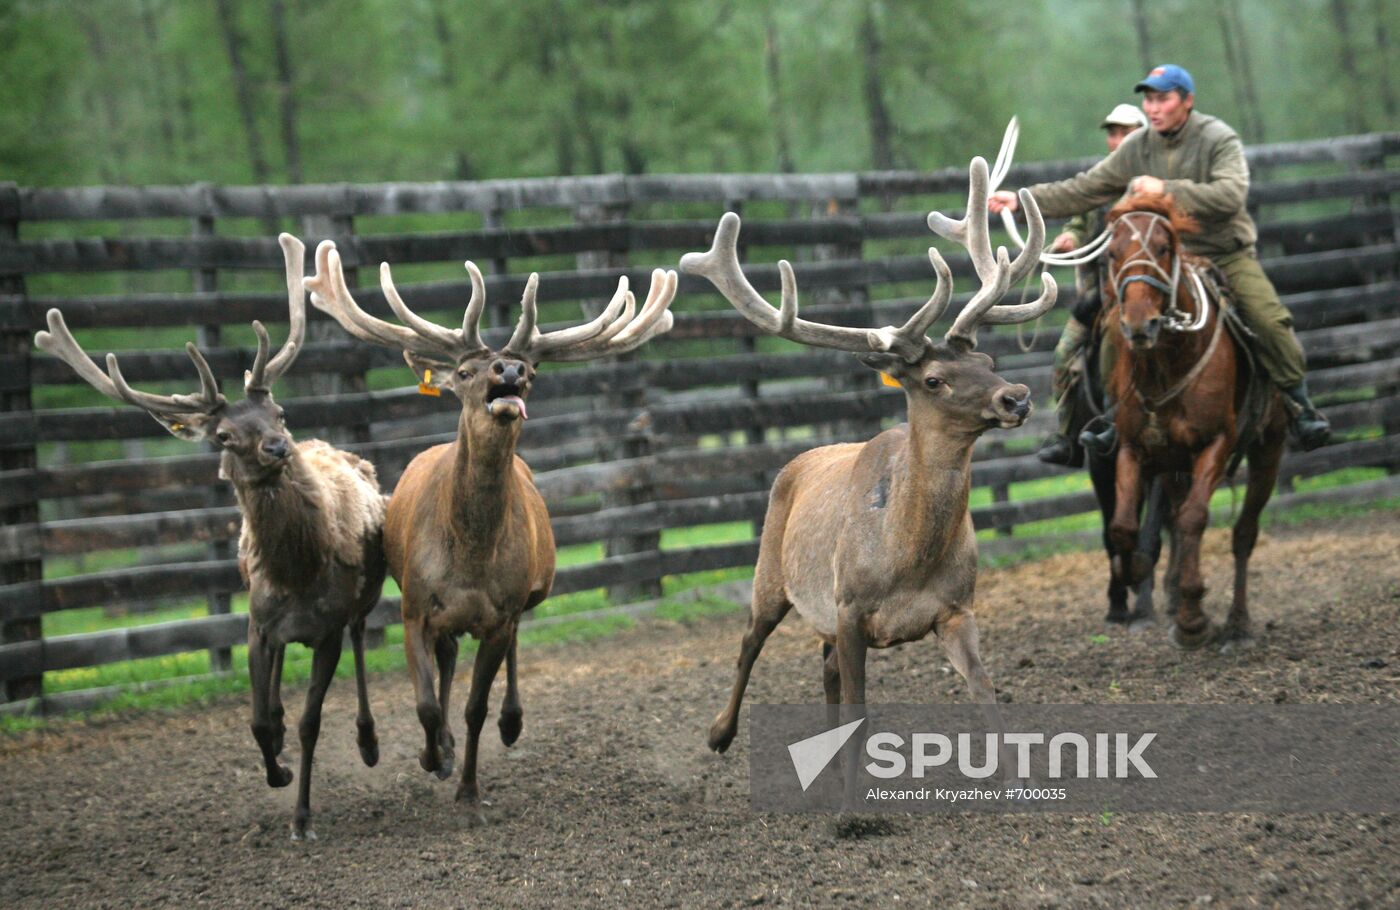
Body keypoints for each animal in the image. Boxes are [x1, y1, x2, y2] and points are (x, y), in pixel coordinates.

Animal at [38, 233, 389, 834]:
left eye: (280, 411)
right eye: (223, 435)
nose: (278, 446)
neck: (296, 572)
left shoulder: (326, 627)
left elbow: (310, 722)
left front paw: (302, 816)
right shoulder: (256, 627)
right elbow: (258, 722)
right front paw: (278, 772)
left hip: (361, 601)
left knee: (364, 636)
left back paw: (368, 743)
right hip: (275, 627)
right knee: (276, 693)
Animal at [306, 240, 677, 817]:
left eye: (533, 373)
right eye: (463, 371)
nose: (509, 371)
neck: (471, 557)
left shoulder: (500, 614)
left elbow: (475, 706)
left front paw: (468, 788)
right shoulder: (415, 607)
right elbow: (426, 705)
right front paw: (435, 756)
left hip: (528, 594)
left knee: (509, 645)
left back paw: (510, 722)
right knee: (444, 660)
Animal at [683, 154, 1052, 756]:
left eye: (989, 361)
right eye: (934, 379)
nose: (1016, 397)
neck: (907, 559)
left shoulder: (956, 609)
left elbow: (986, 692)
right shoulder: (850, 608)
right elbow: (858, 713)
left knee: (824, 669)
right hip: (770, 574)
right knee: (748, 642)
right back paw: (719, 732)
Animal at [1103, 191, 1288, 649]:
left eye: (1164, 248)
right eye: (1112, 254)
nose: (1139, 325)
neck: (1168, 364)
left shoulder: (1215, 444)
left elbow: (1194, 519)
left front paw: (1193, 620)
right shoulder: (1133, 448)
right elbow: (1124, 527)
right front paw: (1135, 576)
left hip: (1269, 450)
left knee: (1243, 534)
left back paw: (1236, 624)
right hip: (1174, 465)